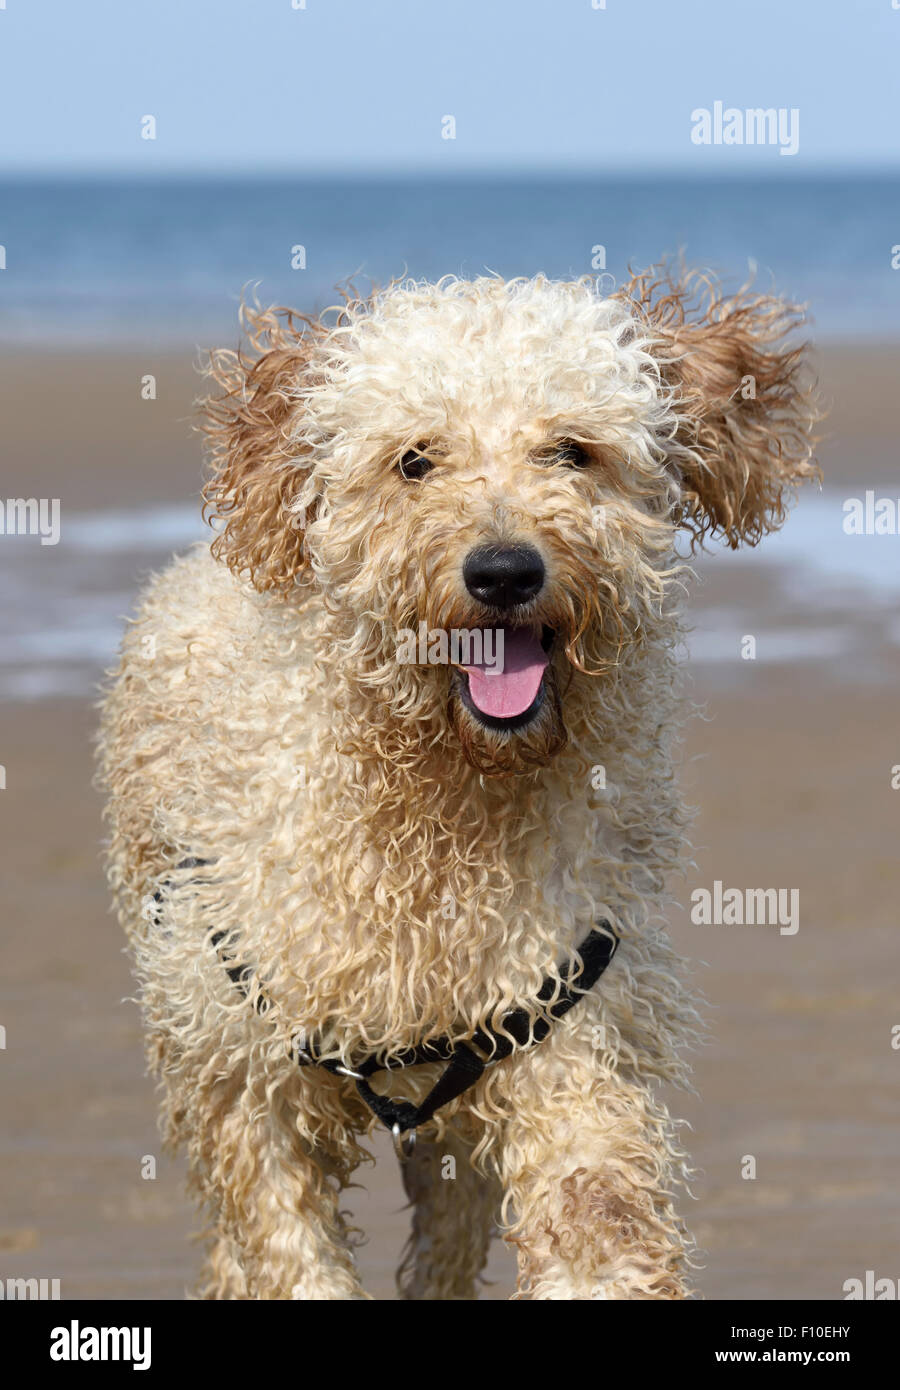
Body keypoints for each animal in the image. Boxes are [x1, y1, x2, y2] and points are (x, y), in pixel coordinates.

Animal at [98, 271, 823, 1301]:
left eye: (573, 451)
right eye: (415, 461)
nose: (505, 570)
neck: (440, 813)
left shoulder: (565, 1026)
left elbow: (595, 1215)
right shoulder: (243, 1079)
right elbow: (284, 1245)